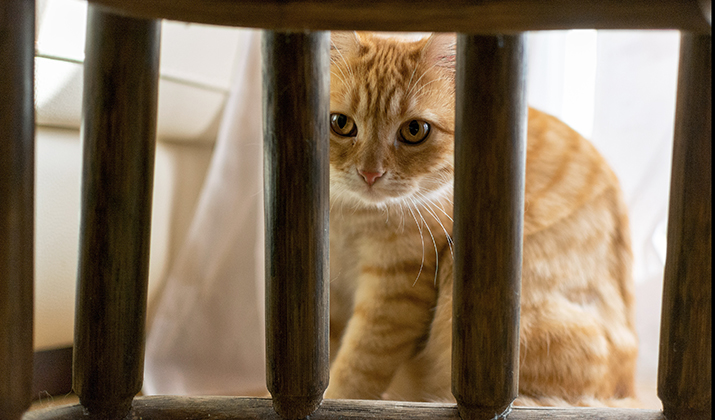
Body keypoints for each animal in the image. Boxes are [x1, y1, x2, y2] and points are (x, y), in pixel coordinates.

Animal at [324, 32, 636, 406]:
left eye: (414, 130)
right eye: (341, 124)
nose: (370, 173)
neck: (351, 218)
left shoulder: (395, 291)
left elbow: (357, 368)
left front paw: (336, 398)